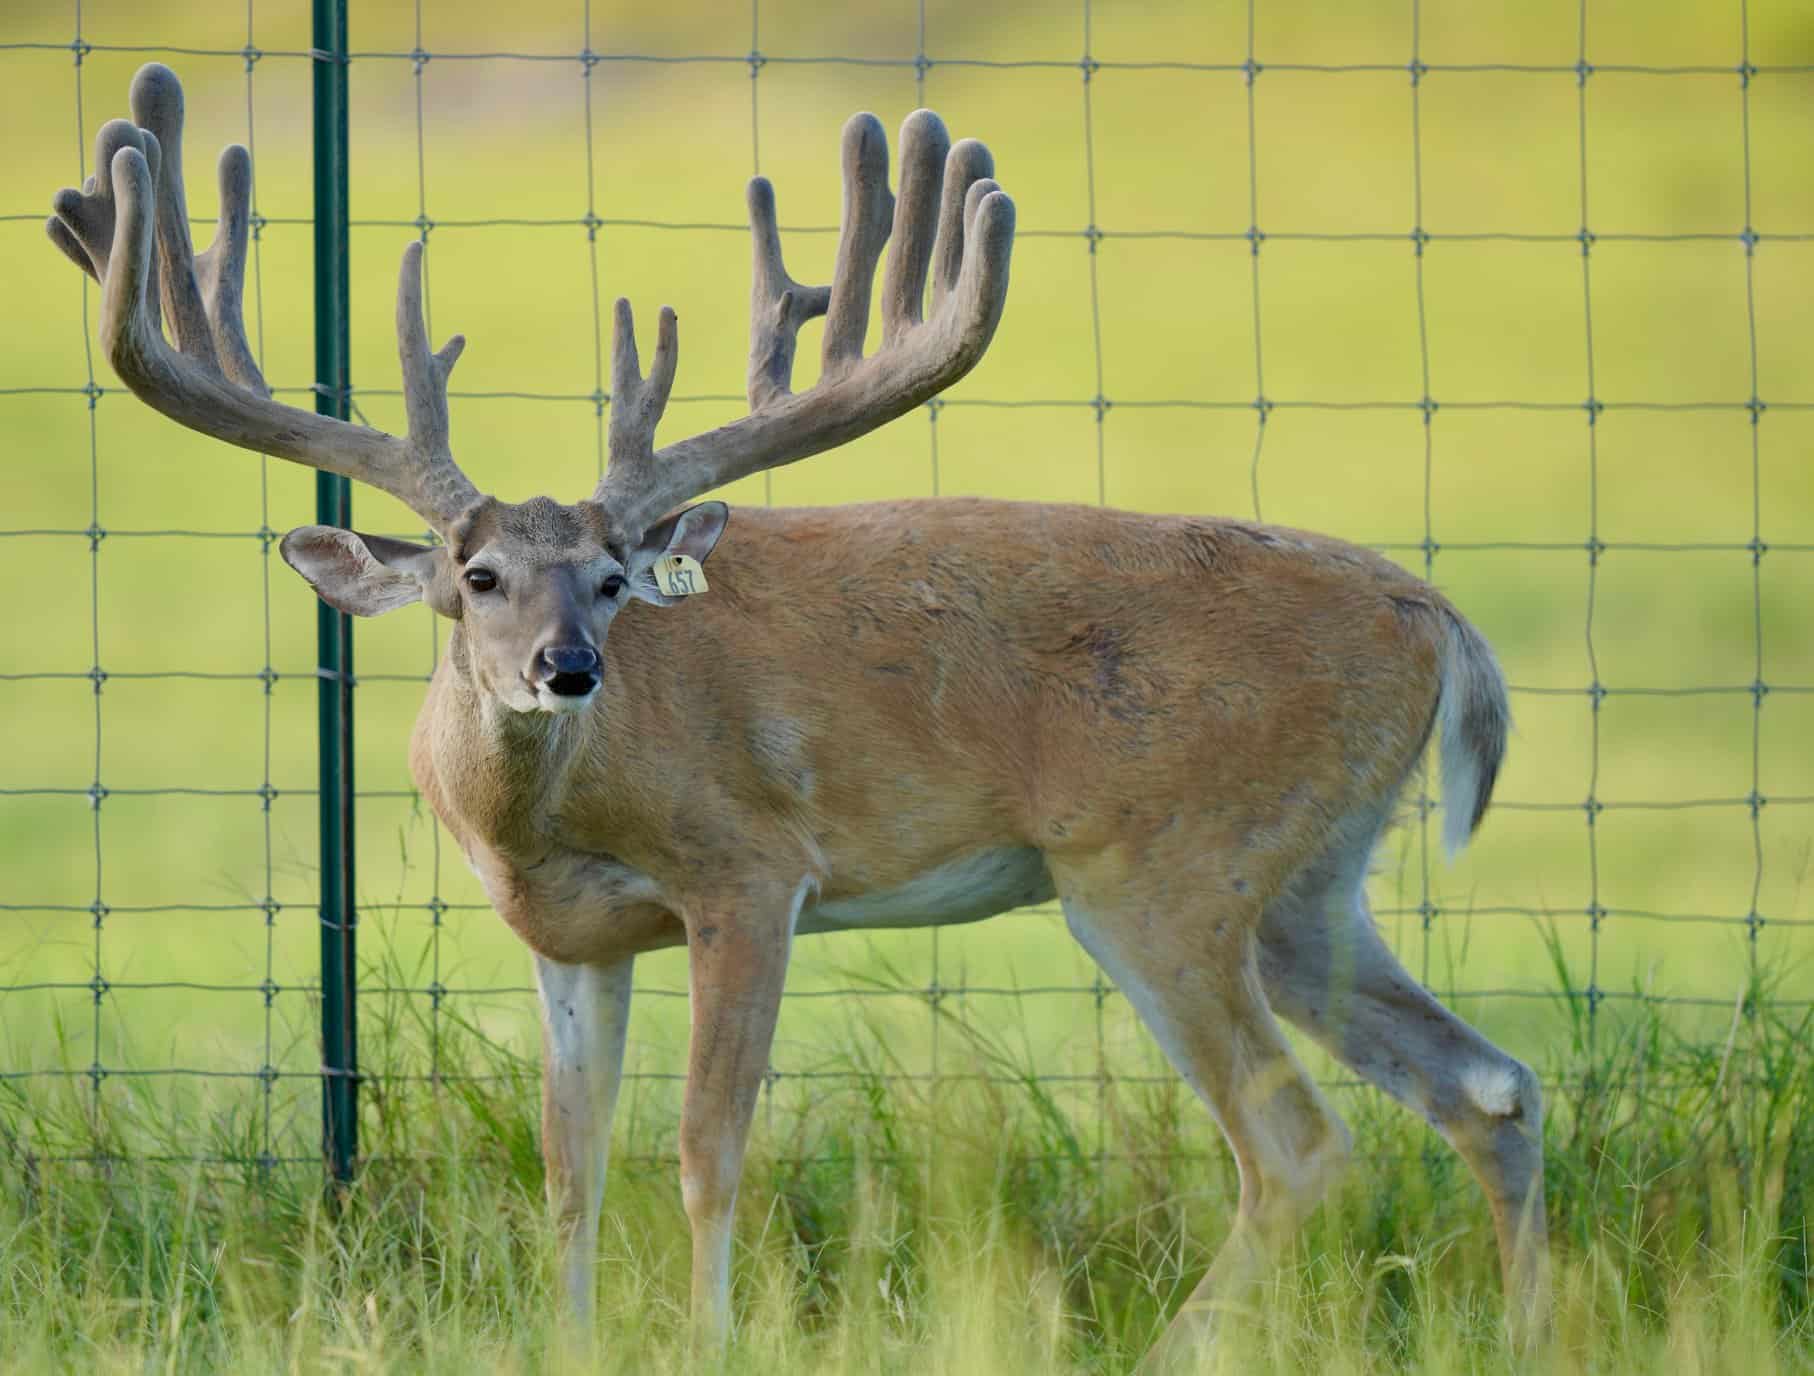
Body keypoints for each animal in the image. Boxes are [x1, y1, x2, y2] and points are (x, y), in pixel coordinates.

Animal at [49, 61, 1547, 1367]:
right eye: (476, 579)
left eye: (611, 579)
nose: (567, 667)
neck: (548, 816)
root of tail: (1437, 618)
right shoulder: (570, 939)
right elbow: (569, 1164)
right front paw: (571, 1338)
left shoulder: (749, 870)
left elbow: (707, 1148)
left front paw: (705, 1340)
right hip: (1306, 883)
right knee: (1488, 1084)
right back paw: (1535, 1326)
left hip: (1163, 863)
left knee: (1296, 1146)